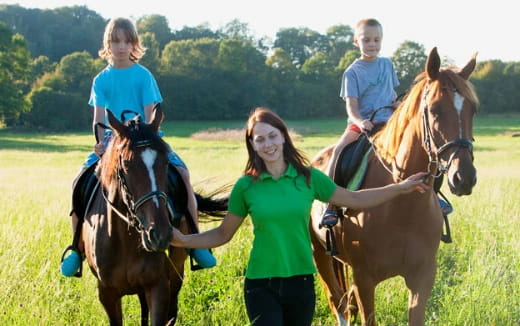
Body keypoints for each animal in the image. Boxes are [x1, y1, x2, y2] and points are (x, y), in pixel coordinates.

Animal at [81, 106, 225, 324]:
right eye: (126, 166)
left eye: (165, 163)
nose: (160, 234)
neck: (125, 239)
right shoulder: (107, 293)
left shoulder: (158, 287)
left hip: (175, 273)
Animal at [310, 48, 478, 326]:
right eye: (434, 110)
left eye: (472, 110)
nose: (463, 177)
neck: (402, 206)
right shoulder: (365, 280)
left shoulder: (422, 278)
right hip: (320, 254)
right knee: (338, 302)